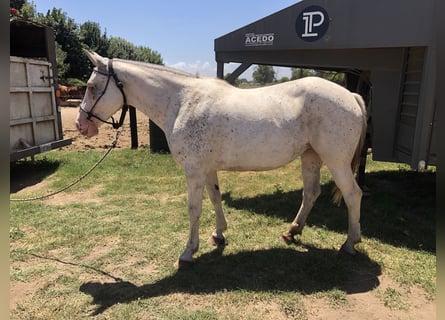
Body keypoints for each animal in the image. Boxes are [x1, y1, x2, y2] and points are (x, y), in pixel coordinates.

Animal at [76, 51, 366, 266]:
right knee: (311, 193)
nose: (81, 125)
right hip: (311, 157)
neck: (183, 102)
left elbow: (194, 209)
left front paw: (188, 252)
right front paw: (219, 234)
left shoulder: (193, 171)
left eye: (91, 87)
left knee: (352, 194)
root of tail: (351, 95)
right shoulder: (207, 169)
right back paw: (292, 231)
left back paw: (350, 243)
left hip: (336, 162)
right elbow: (215, 198)